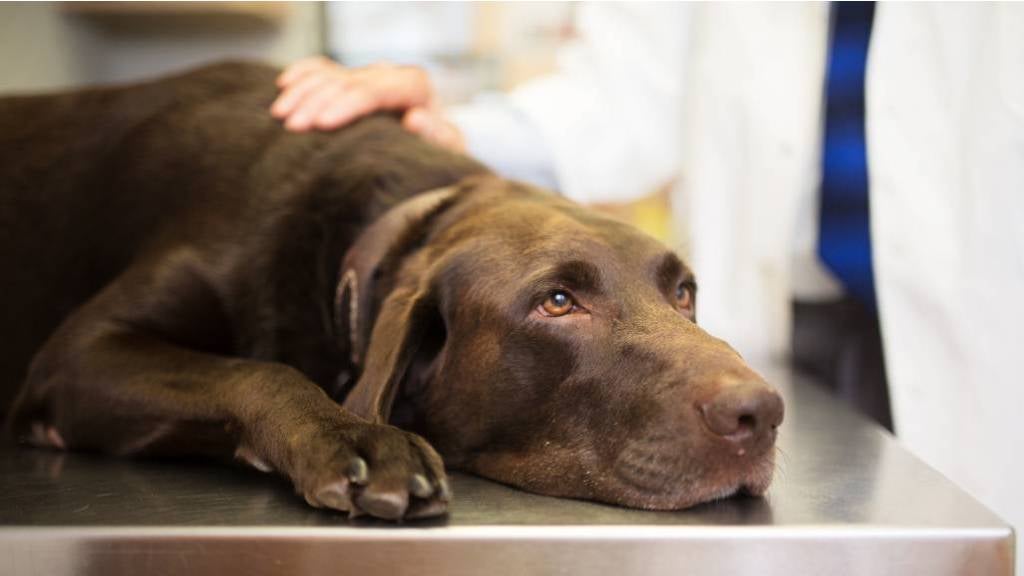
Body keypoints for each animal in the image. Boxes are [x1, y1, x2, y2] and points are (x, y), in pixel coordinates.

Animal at [0, 62, 782, 520]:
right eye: (558, 302)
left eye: (684, 293)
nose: (761, 413)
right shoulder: (77, 357)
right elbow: (262, 372)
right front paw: (359, 439)